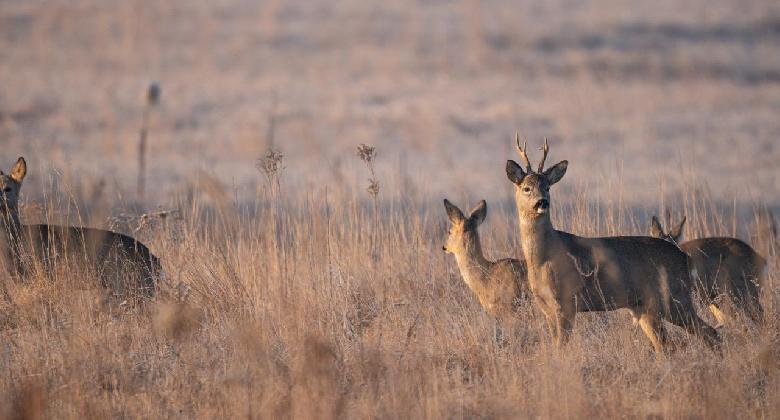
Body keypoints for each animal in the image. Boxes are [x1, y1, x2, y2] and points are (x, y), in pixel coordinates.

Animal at [506, 137, 720, 352]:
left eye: (548, 187)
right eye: (526, 188)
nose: (542, 202)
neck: (544, 257)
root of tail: (685, 257)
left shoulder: (567, 301)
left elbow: (561, 349)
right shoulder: (547, 307)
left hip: (675, 297)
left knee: (711, 332)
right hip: (645, 306)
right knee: (666, 345)